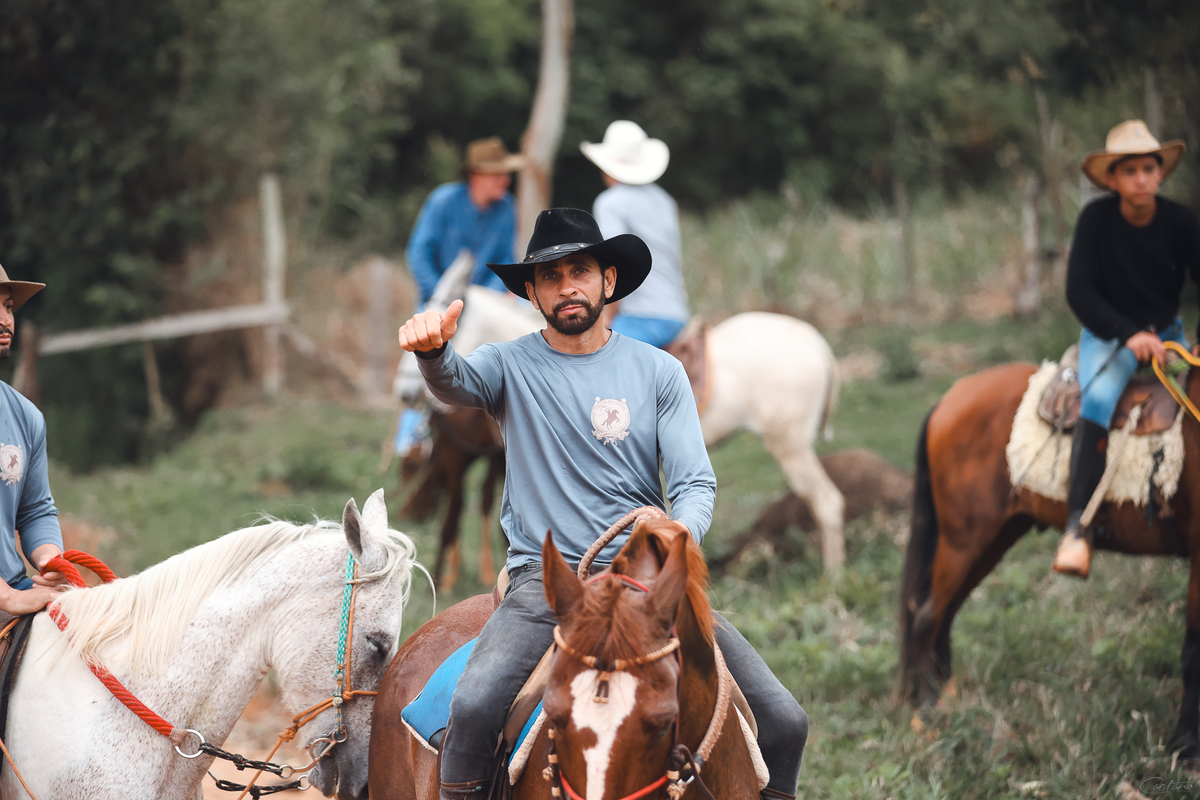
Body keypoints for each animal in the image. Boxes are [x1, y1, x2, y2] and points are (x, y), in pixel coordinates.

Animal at [898, 361, 1200, 758]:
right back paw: (929, 711)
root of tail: (948, 399)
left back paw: (946, 692)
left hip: (994, 538)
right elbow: (1194, 652)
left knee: (944, 613)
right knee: (927, 616)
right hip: (965, 540)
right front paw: (1186, 745)